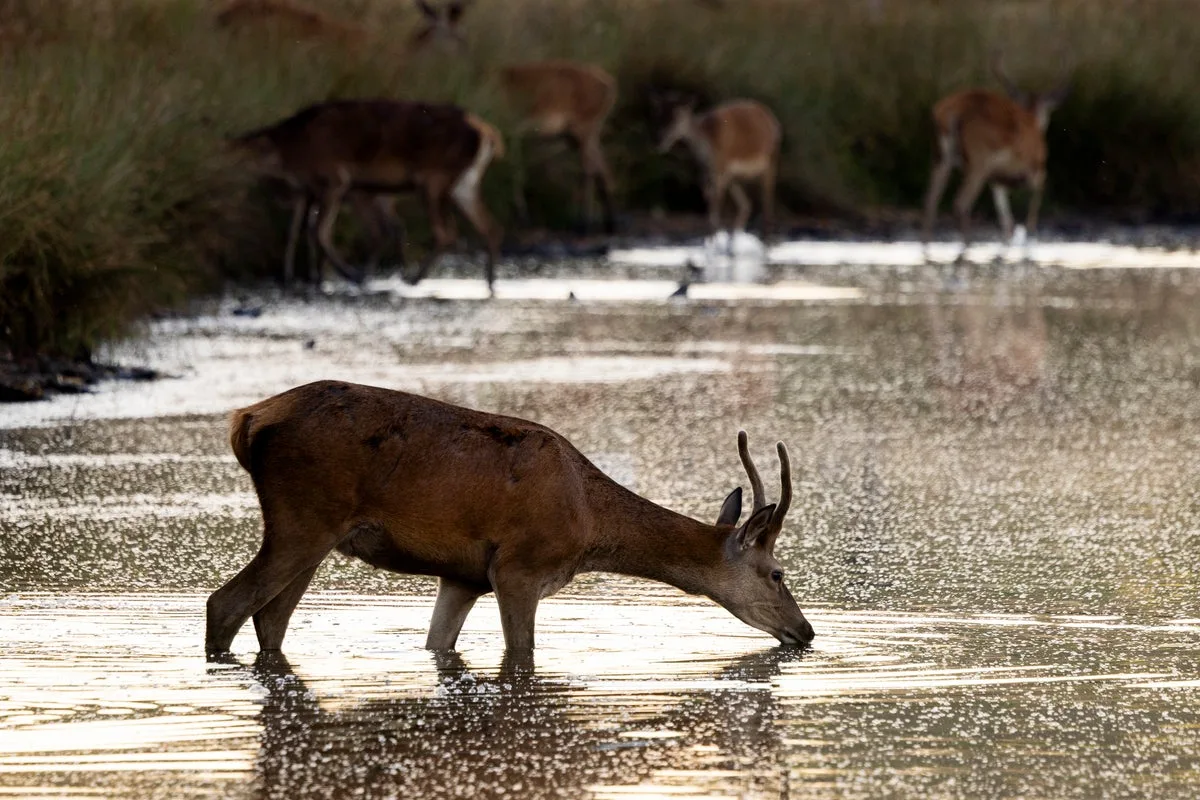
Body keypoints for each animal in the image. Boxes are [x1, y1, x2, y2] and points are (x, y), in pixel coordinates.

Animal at [205, 380, 815, 658]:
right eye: (778, 573)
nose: (806, 630)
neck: (589, 523)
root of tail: (246, 420)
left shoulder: (463, 575)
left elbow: (438, 644)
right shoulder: (519, 567)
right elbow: (521, 652)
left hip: (313, 533)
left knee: (270, 620)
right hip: (303, 517)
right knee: (226, 603)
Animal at [230, 100, 504, 291]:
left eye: (240, 155)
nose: (222, 168)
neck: (291, 153)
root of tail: (489, 135)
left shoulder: (335, 180)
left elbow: (320, 231)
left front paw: (346, 274)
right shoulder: (312, 191)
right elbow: (298, 231)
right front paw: (305, 277)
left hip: (433, 180)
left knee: (444, 232)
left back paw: (413, 278)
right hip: (463, 185)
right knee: (488, 225)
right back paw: (490, 281)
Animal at [498, 60, 618, 234]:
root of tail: (609, 82)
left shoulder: (510, 131)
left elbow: (514, 168)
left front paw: (523, 218)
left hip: (584, 129)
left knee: (589, 169)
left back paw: (584, 224)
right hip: (576, 135)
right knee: (602, 168)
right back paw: (609, 224)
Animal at [658, 99, 782, 240]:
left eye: (678, 117)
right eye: (659, 114)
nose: (659, 140)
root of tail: (775, 122)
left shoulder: (721, 166)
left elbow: (715, 200)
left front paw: (714, 237)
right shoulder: (706, 171)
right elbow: (708, 197)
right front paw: (712, 236)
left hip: (771, 160)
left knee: (767, 199)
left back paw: (766, 238)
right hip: (735, 175)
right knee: (746, 204)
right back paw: (736, 235)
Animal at [921, 54, 1072, 258]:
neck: (1032, 120)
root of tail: (949, 112)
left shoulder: (996, 179)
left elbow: (1006, 221)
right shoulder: (1036, 169)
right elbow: (1032, 209)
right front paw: (1029, 243)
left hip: (939, 158)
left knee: (930, 202)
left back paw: (927, 248)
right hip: (978, 160)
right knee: (960, 203)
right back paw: (966, 247)